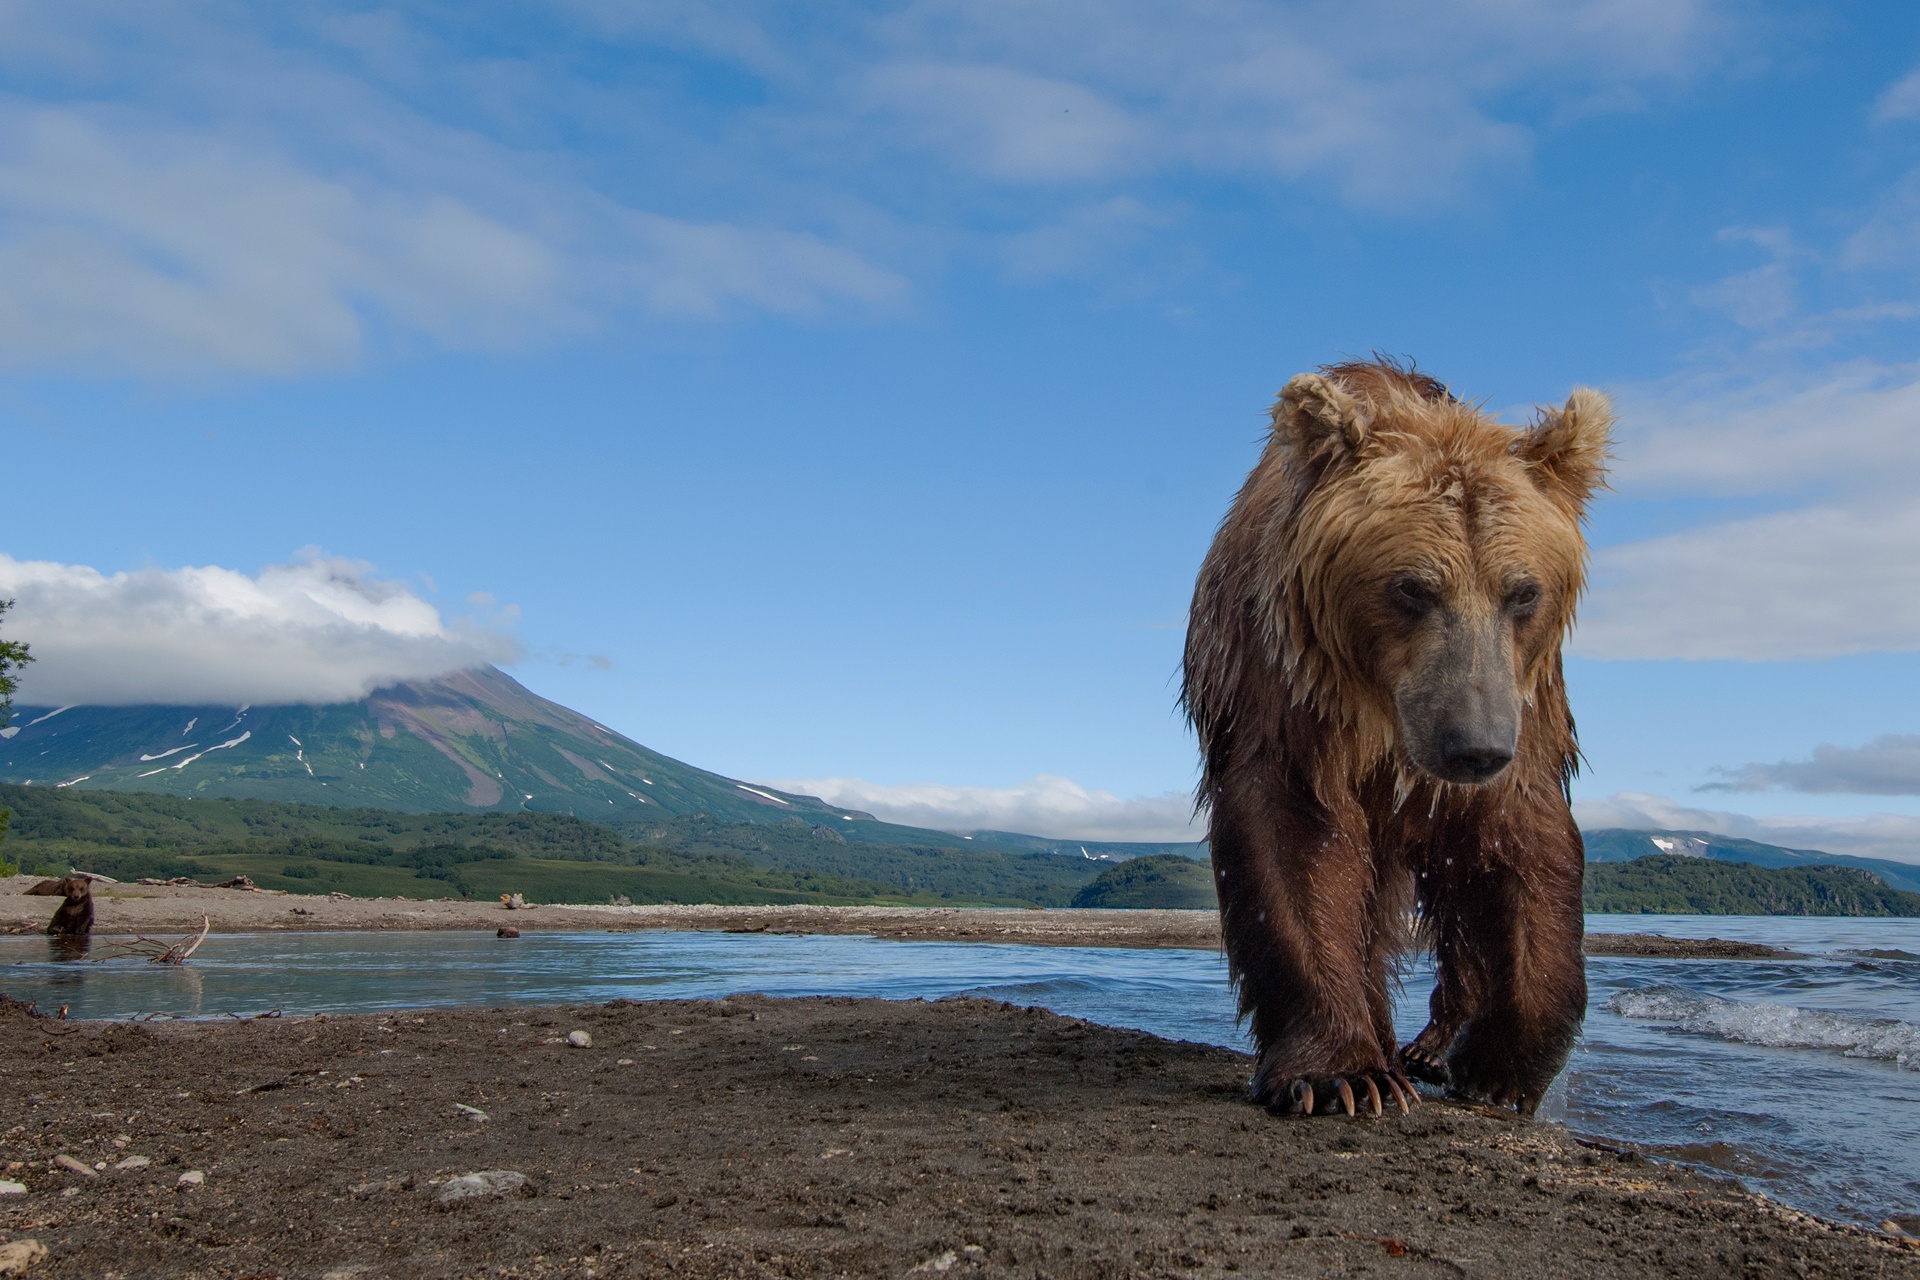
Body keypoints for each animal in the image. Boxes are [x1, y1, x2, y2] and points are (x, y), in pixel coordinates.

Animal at [1182, 355, 1605, 1113]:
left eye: (1523, 591)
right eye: (1411, 587)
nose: (1474, 746)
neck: (1384, 714)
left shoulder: (1525, 705)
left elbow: (1523, 843)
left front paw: (1499, 1066)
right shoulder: (1287, 686)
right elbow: (1296, 833)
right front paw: (1340, 1073)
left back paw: (1434, 1044)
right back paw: (1385, 1048)